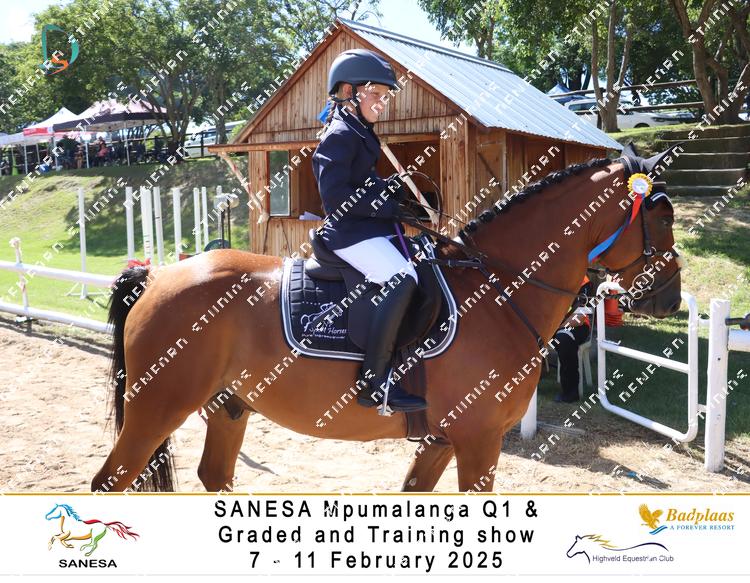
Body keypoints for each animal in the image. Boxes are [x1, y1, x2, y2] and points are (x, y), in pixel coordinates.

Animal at [91, 145, 683, 493]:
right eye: (661, 217)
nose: (672, 297)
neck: (497, 288)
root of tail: (156, 277)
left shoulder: (442, 440)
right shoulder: (479, 440)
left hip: (228, 407)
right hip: (155, 410)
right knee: (109, 482)